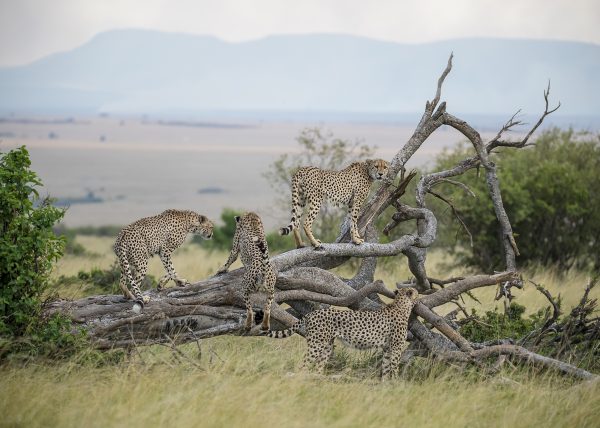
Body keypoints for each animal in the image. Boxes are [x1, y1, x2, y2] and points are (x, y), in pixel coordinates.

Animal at [268, 286, 418, 380]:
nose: (419, 297)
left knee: (318, 367)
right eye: (416, 293)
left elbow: (386, 368)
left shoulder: (387, 348)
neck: (401, 305)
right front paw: (397, 383)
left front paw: (386, 385)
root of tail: (311, 313)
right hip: (316, 345)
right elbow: (395, 367)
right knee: (303, 365)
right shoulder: (396, 348)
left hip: (327, 346)